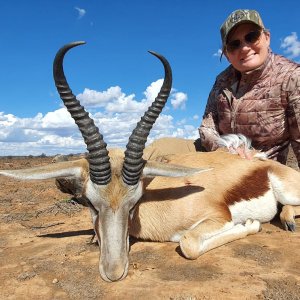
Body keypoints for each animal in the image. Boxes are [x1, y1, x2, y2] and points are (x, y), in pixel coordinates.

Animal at [0, 41, 300, 282]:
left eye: (134, 203)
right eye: (89, 203)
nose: (113, 272)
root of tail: (265, 164)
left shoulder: (217, 216)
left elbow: (188, 243)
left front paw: (250, 224)